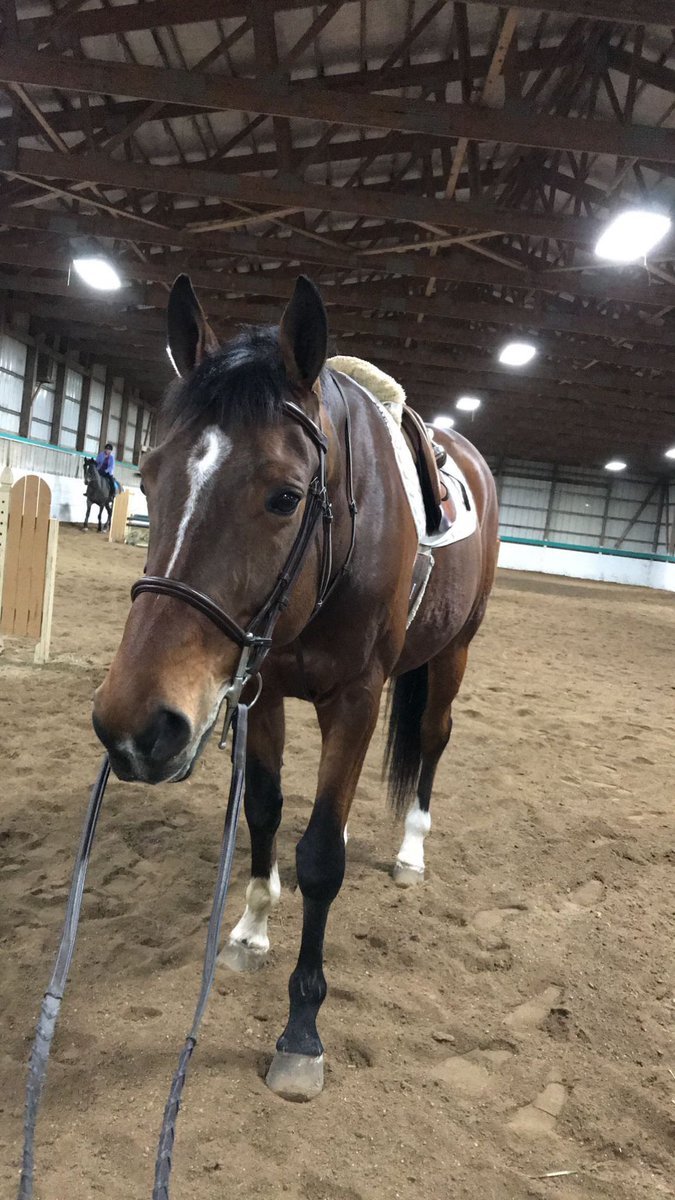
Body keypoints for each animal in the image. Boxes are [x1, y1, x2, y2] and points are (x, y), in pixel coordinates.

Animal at [92, 274, 499, 1102]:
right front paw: (249, 930)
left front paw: (302, 1028)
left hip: (452, 654)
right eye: (148, 475)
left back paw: (411, 850)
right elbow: (264, 808)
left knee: (432, 742)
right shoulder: (266, 687)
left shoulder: (358, 699)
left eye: (284, 496)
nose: (135, 727)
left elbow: (318, 858)